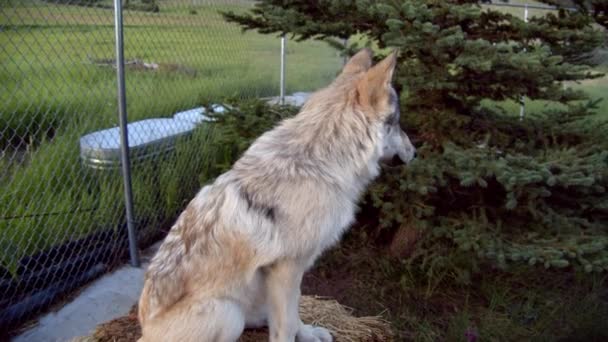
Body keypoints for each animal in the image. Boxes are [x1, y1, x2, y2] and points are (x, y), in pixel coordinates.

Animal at [136, 48, 416, 342]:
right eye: (398, 123)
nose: (415, 150)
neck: (319, 163)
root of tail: (144, 330)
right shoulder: (286, 269)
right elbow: (286, 325)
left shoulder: (295, 272)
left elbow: (295, 314)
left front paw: (308, 333)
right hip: (228, 313)